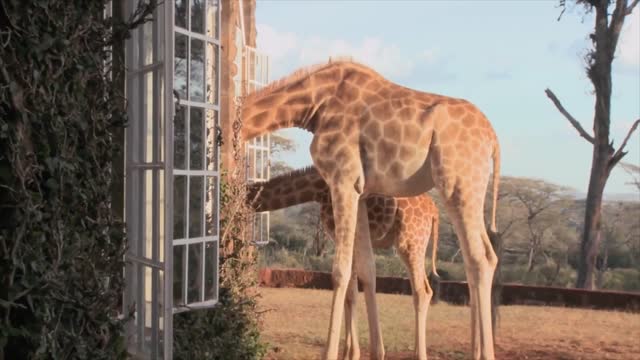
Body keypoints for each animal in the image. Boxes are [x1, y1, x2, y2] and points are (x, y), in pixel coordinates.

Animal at [246, 166, 440, 360]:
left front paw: (344, 352)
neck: (317, 189)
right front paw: (349, 353)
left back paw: (419, 355)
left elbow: (347, 283)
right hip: (417, 244)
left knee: (420, 291)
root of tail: (434, 212)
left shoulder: (339, 228)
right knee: (427, 289)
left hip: (410, 242)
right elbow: (351, 293)